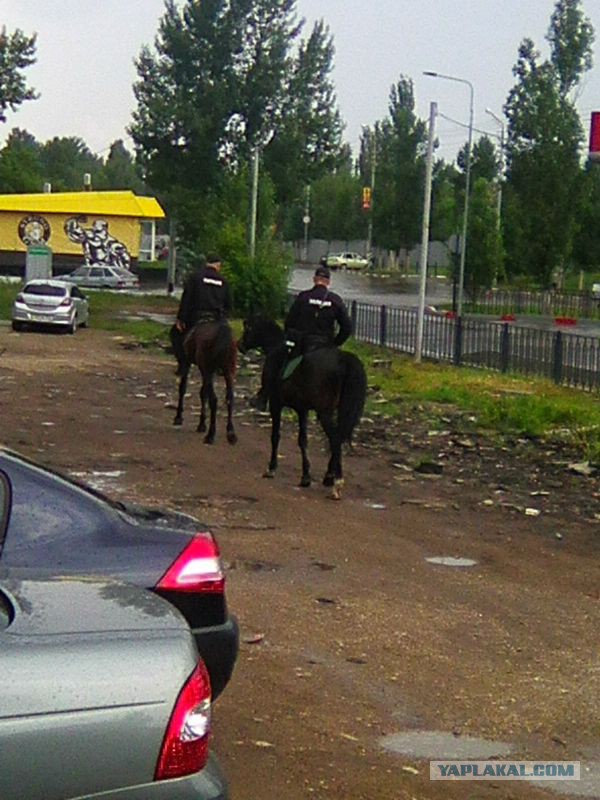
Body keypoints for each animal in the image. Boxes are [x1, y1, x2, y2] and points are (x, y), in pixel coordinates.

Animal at [238, 316, 366, 496]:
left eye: (247, 328)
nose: (239, 345)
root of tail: (343, 360)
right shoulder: (302, 410)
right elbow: (303, 440)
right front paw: (306, 476)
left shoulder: (276, 405)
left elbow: (276, 436)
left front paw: (272, 468)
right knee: (339, 437)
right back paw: (329, 476)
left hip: (324, 412)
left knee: (335, 439)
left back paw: (337, 482)